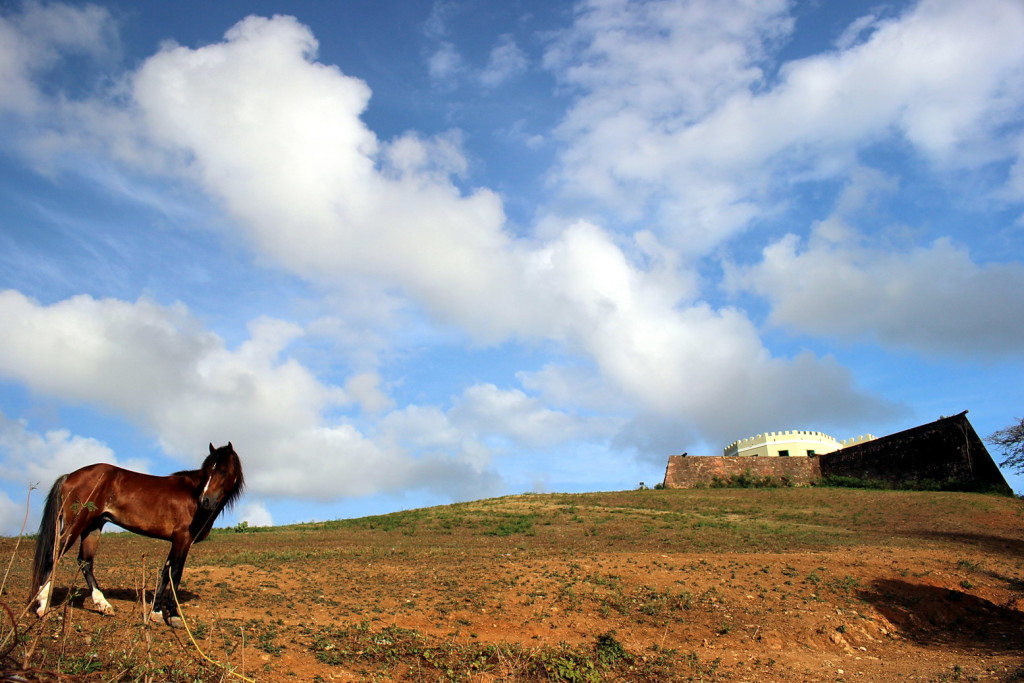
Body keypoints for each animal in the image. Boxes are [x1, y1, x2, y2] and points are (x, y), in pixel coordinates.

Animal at [30, 440, 242, 626]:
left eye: (223, 470)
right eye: (207, 471)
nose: (205, 500)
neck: (192, 494)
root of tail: (69, 476)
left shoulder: (176, 542)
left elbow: (165, 573)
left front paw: (156, 613)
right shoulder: (183, 539)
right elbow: (175, 573)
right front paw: (173, 616)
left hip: (93, 527)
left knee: (85, 562)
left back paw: (103, 605)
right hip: (76, 525)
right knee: (53, 555)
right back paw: (42, 606)